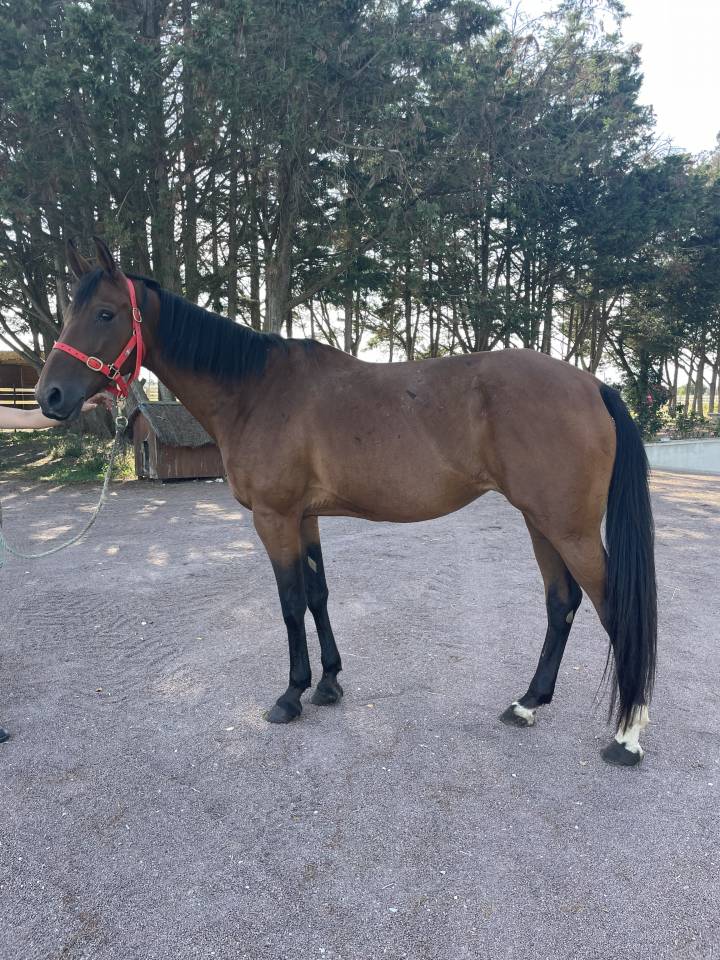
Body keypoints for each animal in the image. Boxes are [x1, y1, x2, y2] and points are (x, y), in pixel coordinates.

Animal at [35, 238, 657, 766]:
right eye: (68, 312)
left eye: (106, 314)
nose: (51, 396)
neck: (256, 391)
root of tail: (592, 384)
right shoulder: (305, 518)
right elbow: (317, 595)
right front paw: (329, 683)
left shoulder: (275, 518)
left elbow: (289, 603)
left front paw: (290, 695)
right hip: (540, 520)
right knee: (562, 603)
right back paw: (527, 703)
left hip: (569, 528)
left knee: (610, 607)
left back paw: (627, 737)